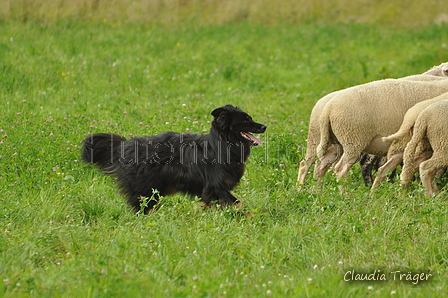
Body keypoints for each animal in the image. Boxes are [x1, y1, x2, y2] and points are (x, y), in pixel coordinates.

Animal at [81, 103, 266, 213]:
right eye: (246, 120)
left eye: (250, 118)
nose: (264, 126)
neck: (223, 144)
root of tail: (125, 145)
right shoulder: (215, 188)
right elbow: (239, 203)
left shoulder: (210, 192)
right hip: (145, 190)